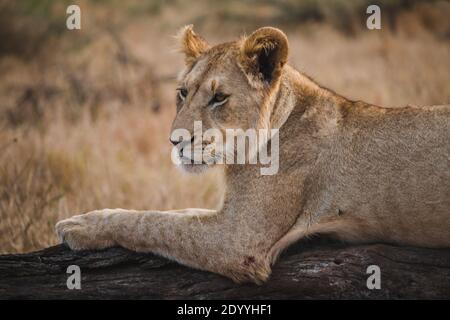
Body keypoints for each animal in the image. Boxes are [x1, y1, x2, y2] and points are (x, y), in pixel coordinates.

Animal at [56, 26, 450, 284]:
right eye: (182, 93)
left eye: (219, 98)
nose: (175, 141)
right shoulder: (229, 214)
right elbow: (174, 213)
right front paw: (86, 217)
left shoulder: (238, 238)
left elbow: (153, 223)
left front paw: (79, 226)